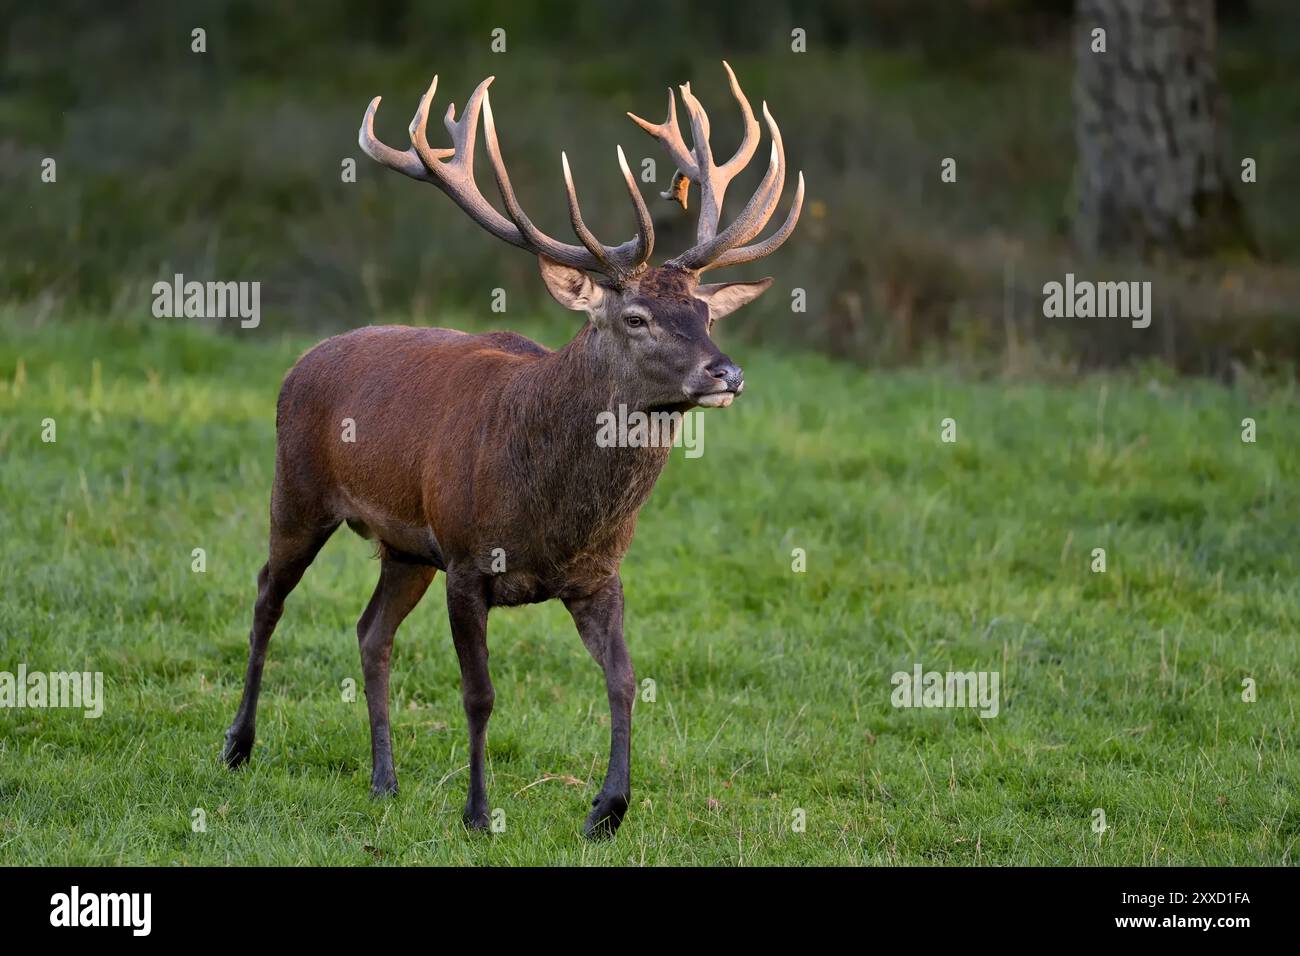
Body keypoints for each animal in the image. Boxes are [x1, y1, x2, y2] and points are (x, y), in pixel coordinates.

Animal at [223, 61, 800, 837]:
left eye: (705, 311)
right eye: (637, 317)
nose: (726, 373)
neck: (552, 515)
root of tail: (301, 362)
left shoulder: (599, 574)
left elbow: (624, 681)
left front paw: (608, 808)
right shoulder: (468, 560)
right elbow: (481, 694)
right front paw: (476, 811)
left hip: (406, 548)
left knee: (371, 632)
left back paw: (384, 780)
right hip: (298, 491)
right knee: (265, 597)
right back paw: (238, 745)